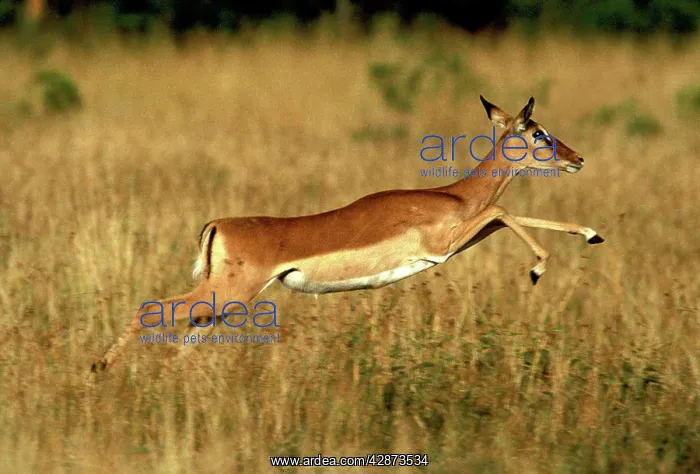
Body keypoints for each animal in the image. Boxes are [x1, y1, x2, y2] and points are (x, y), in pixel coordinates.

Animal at [91, 95, 604, 372]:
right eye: (538, 133)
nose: (578, 159)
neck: (453, 196)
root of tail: (216, 225)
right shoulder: (443, 246)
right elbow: (503, 209)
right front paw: (538, 269)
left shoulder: (462, 237)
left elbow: (504, 216)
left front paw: (592, 233)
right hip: (226, 294)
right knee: (151, 309)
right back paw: (98, 367)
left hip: (221, 302)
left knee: (182, 339)